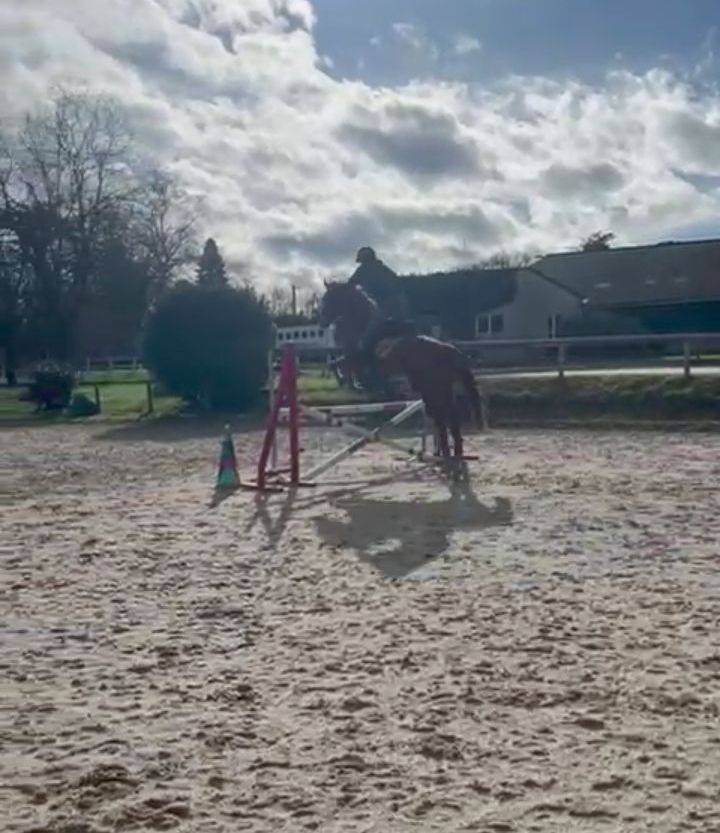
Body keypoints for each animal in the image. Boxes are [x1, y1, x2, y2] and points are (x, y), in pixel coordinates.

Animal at [319, 281, 488, 458]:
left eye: (329, 299)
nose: (322, 322)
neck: (363, 324)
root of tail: (448, 349)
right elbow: (339, 365)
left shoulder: (357, 359)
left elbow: (341, 365)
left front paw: (354, 383)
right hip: (439, 389)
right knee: (446, 416)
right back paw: (452, 453)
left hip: (435, 388)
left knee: (445, 415)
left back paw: (450, 453)